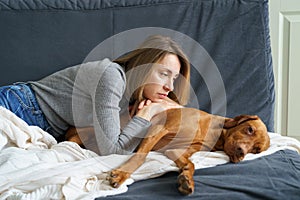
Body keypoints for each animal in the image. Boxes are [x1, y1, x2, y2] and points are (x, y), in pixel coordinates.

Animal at [65, 108, 270, 195]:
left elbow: (191, 164)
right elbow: (140, 157)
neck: (212, 131)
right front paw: (121, 175)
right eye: (249, 129)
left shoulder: (175, 150)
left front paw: (187, 179)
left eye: (256, 150)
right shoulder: (158, 129)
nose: (241, 153)